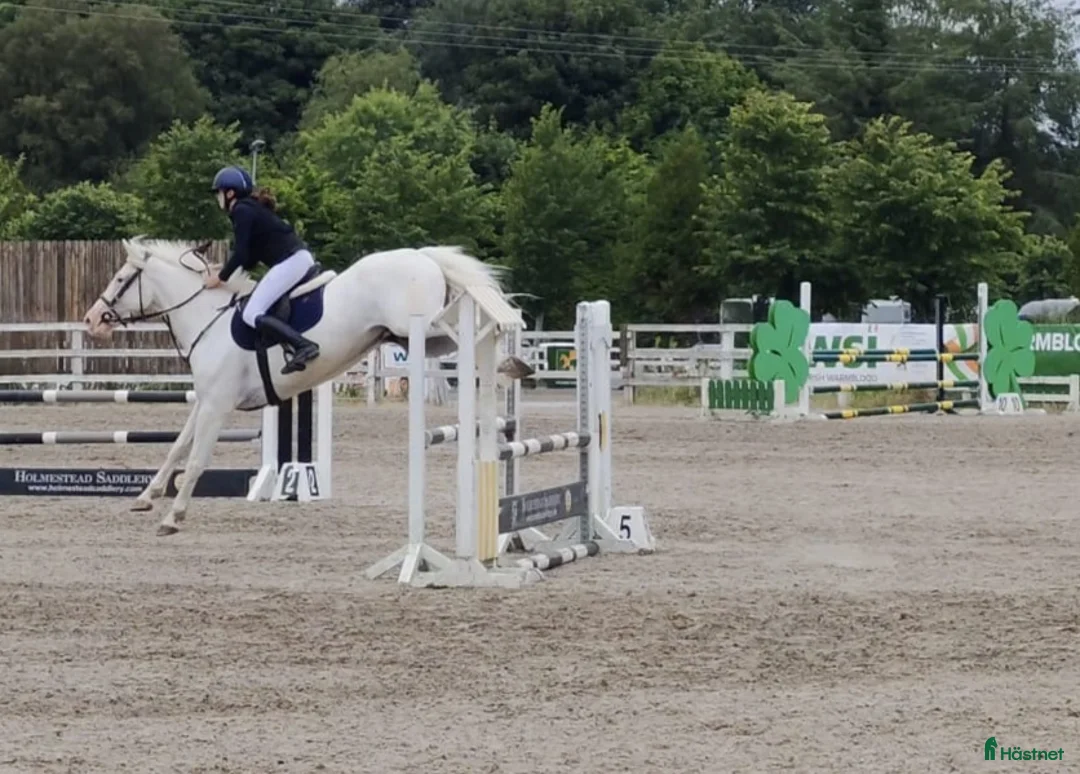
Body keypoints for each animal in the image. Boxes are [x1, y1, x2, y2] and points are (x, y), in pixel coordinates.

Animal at [83, 237, 532, 536]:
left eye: (121, 279)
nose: (91, 320)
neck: (207, 318)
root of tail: (421, 256)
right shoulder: (206, 402)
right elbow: (177, 447)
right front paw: (147, 496)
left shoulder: (217, 405)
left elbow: (195, 460)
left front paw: (173, 517)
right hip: (403, 335)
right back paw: (511, 364)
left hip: (416, 326)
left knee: (471, 332)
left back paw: (509, 358)